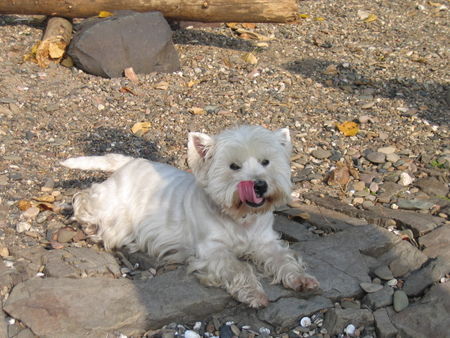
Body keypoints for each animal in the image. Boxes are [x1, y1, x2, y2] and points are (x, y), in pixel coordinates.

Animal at [61, 125, 318, 308]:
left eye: (266, 162)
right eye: (234, 166)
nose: (260, 185)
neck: (241, 218)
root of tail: (129, 161)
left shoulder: (265, 242)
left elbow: (283, 258)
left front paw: (302, 279)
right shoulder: (212, 251)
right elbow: (240, 268)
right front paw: (255, 294)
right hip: (112, 206)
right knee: (85, 200)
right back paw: (89, 225)